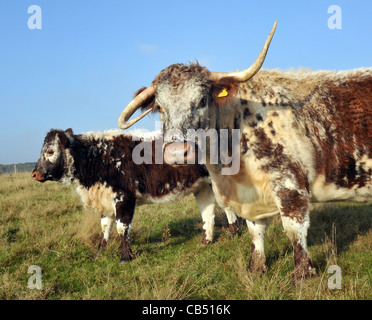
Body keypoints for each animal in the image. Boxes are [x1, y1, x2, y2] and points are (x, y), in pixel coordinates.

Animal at [33, 129, 240, 264]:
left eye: (50, 151)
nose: (35, 173)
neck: (97, 156)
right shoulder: (106, 200)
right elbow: (105, 228)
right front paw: (98, 255)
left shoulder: (124, 197)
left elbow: (122, 228)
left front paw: (125, 258)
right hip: (202, 187)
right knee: (208, 214)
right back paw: (206, 242)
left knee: (227, 207)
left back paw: (234, 235)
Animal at [118, 21, 372, 278]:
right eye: (160, 107)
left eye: (202, 100)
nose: (178, 151)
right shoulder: (251, 197)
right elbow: (255, 231)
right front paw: (256, 269)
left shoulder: (290, 185)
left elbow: (294, 231)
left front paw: (303, 274)